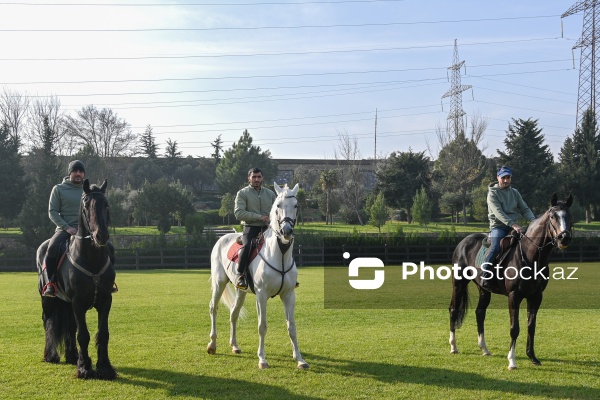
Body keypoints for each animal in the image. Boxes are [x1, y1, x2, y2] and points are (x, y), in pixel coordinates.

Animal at [36, 180, 117, 380]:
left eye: (106, 205)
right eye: (86, 206)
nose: (101, 236)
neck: (91, 259)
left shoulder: (105, 300)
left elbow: (102, 334)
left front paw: (105, 367)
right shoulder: (78, 303)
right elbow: (83, 335)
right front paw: (85, 368)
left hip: (67, 303)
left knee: (71, 327)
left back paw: (72, 355)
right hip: (48, 300)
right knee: (47, 322)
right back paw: (51, 355)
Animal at [207, 183, 310, 370]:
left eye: (296, 205)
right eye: (278, 205)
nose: (286, 231)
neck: (279, 255)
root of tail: (223, 238)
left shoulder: (289, 295)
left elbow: (292, 327)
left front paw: (300, 359)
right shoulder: (261, 296)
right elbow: (262, 326)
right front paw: (262, 359)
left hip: (240, 291)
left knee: (234, 313)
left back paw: (235, 346)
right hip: (219, 283)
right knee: (214, 308)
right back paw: (212, 345)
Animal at [450, 193, 572, 368]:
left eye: (569, 216)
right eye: (552, 216)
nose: (564, 238)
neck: (530, 255)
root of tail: (463, 242)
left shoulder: (536, 297)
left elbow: (531, 326)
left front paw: (532, 357)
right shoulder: (514, 296)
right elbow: (515, 328)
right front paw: (512, 361)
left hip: (483, 290)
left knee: (480, 313)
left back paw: (484, 349)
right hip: (459, 283)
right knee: (453, 310)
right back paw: (453, 346)